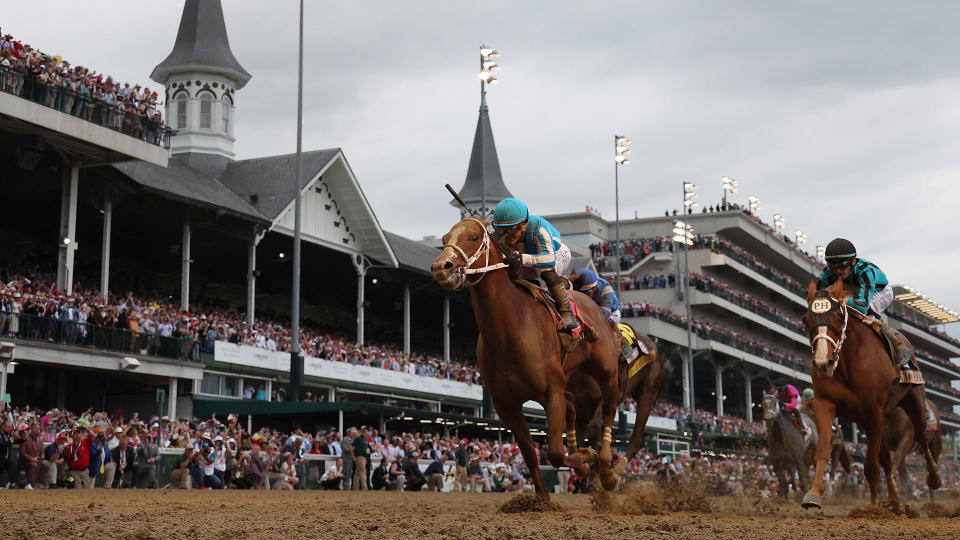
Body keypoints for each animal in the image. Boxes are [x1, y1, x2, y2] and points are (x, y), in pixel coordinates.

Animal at [430, 217, 624, 496]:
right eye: (445, 239)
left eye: (474, 237)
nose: (440, 268)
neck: (510, 330)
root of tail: (597, 307)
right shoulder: (507, 405)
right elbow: (531, 456)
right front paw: (543, 497)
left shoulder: (551, 392)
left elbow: (554, 453)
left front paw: (587, 458)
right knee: (573, 406)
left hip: (606, 373)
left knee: (608, 411)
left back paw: (607, 470)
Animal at [800, 280, 940, 508]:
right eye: (806, 319)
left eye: (838, 317)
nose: (822, 362)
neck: (847, 363)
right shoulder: (826, 403)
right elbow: (823, 451)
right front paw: (813, 493)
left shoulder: (874, 411)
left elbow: (872, 466)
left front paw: (873, 508)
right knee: (887, 460)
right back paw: (895, 500)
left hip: (914, 403)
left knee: (921, 437)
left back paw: (934, 479)